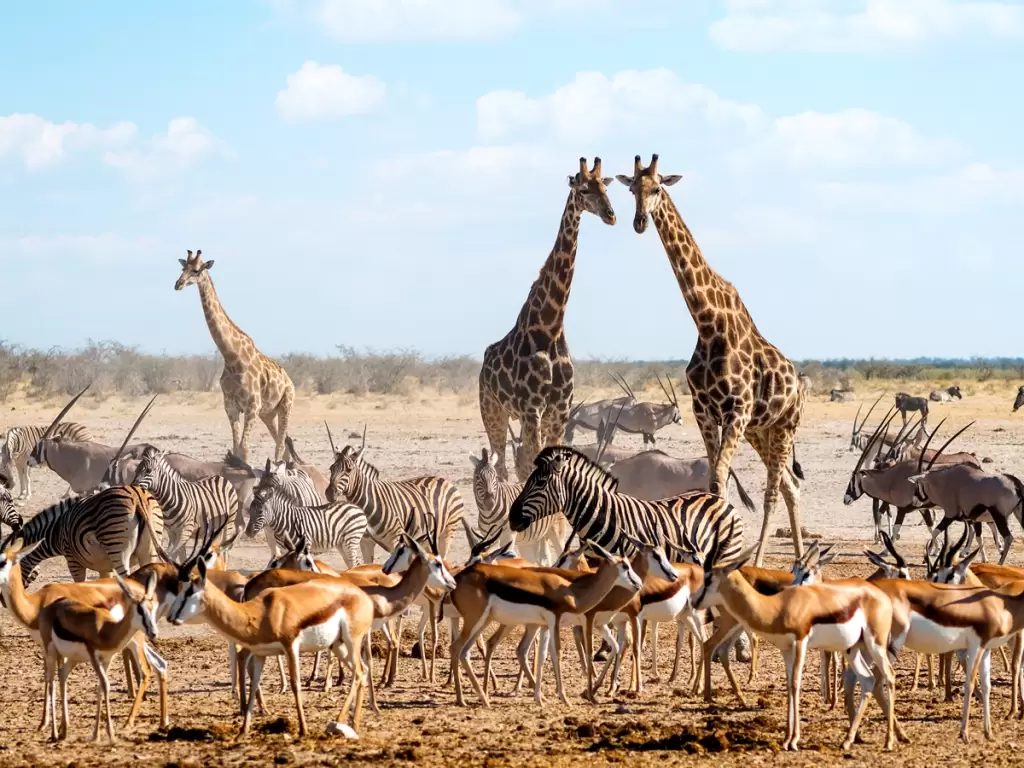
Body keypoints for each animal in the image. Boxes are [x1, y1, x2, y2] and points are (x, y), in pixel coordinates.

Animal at [3, 485, 165, 585]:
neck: (56, 531)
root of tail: (136, 495)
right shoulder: (105, 567)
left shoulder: (72, 561)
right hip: (149, 552)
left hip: (118, 551)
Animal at [174, 249, 295, 464]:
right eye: (182, 268)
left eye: (196, 270)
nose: (178, 284)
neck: (231, 357)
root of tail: (289, 380)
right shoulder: (230, 405)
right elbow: (236, 449)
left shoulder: (252, 406)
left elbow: (244, 450)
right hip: (268, 413)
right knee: (283, 444)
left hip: (286, 406)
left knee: (280, 444)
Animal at [326, 435, 465, 563]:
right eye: (331, 468)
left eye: (349, 470)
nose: (329, 493)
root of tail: (444, 480)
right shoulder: (365, 543)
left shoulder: (396, 540)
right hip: (427, 537)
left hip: (447, 531)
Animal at [479, 157, 616, 482]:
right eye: (583, 189)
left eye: (605, 187)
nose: (611, 215)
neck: (550, 328)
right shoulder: (532, 410)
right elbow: (530, 465)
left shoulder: (560, 411)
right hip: (492, 410)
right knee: (501, 465)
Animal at [616, 155, 805, 566]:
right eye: (632, 188)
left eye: (658, 187)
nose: (639, 222)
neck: (707, 322)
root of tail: (799, 384)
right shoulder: (705, 411)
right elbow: (713, 481)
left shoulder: (735, 410)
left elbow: (719, 480)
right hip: (760, 431)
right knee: (790, 486)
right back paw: (799, 559)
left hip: (783, 425)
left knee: (774, 489)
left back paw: (760, 561)